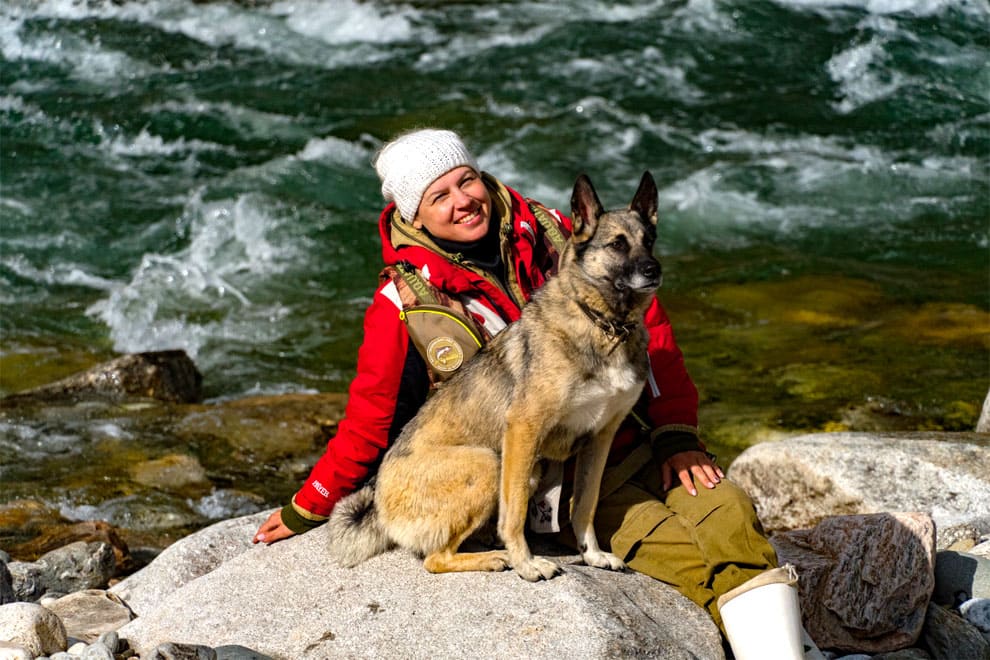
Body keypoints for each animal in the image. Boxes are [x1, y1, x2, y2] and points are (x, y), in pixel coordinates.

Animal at [330, 171, 664, 584]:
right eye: (617, 244)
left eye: (649, 241)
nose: (654, 271)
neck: (603, 323)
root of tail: (377, 504)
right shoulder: (524, 429)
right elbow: (516, 510)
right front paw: (526, 563)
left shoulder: (600, 437)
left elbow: (585, 503)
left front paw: (594, 555)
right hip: (489, 462)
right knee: (435, 558)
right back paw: (493, 557)